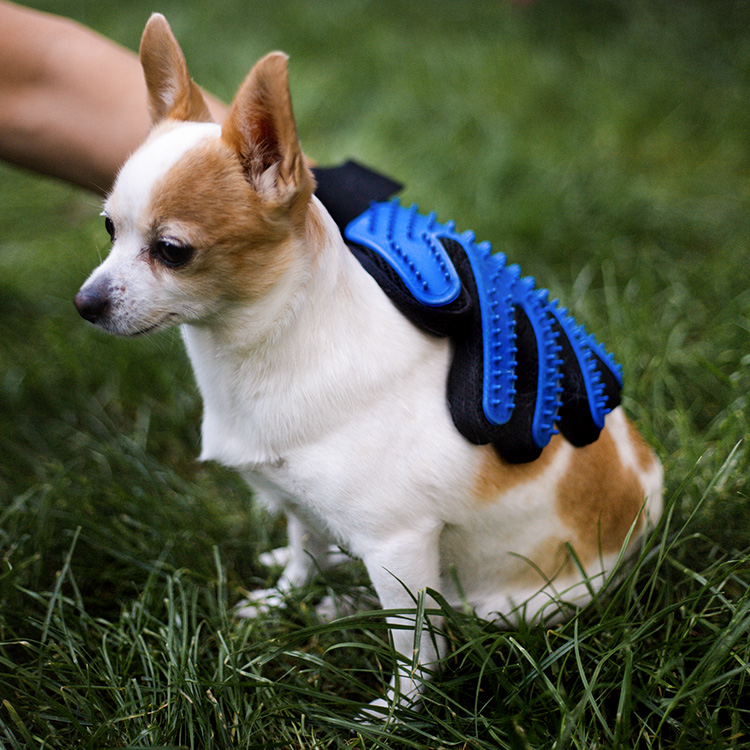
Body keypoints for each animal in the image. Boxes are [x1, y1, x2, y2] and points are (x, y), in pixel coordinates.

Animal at [75, 13, 664, 712]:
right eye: (109, 229)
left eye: (171, 251)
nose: (85, 304)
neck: (259, 355)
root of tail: (648, 502)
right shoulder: (297, 498)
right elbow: (302, 543)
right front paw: (285, 596)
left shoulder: (398, 547)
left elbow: (416, 646)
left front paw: (397, 712)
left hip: (511, 608)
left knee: (452, 618)